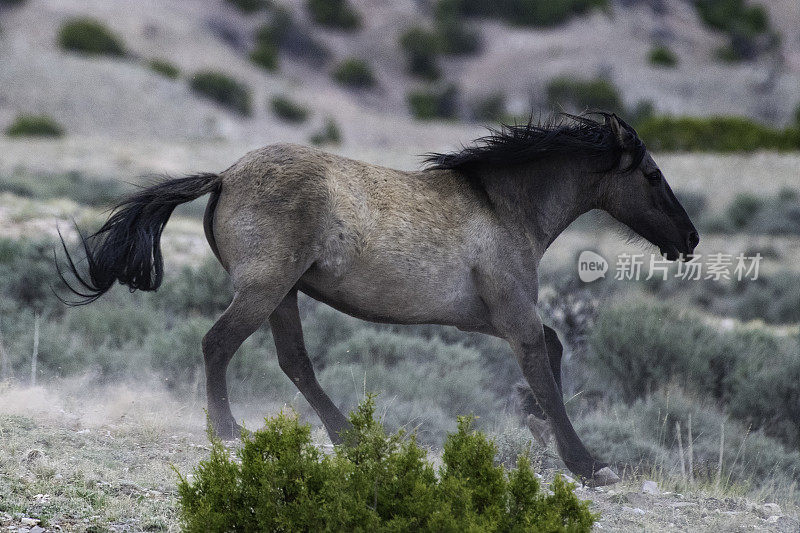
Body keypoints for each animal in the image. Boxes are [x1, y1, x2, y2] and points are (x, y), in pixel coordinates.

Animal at [59, 113, 700, 486]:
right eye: (650, 174)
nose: (690, 239)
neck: (502, 208)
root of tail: (225, 175)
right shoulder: (513, 316)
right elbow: (544, 371)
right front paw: (589, 465)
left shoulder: (489, 319)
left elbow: (553, 353)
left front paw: (540, 431)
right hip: (265, 288)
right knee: (218, 344)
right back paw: (228, 431)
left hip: (284, 293)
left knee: (294, 362)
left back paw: (350, 438)